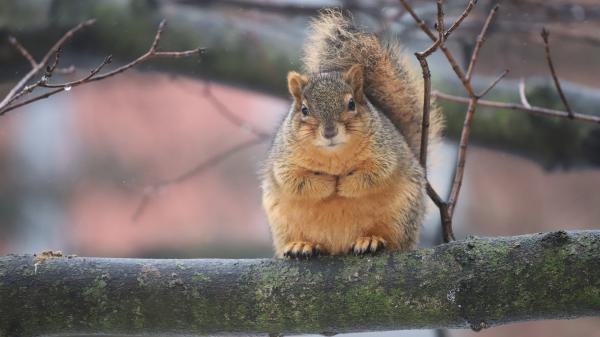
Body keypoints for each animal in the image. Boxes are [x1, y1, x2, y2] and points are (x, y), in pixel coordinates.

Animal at [260, 9, 442, 258]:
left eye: (351, 104)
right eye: (304, 110)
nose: (329, 132)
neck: (333, 156)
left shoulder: (386, 151)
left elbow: (375, 174)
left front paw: (343, 185)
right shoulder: (284, 159)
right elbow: (294, 180)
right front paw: (329, 184)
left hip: (401, 217)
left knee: (393, 241)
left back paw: (371, 240)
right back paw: (302, 245)